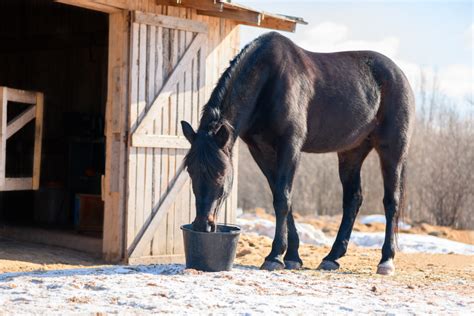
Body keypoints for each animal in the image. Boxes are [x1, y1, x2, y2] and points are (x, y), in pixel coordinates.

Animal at [181, 30, 414, 276]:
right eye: (190, 171)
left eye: (221, 173)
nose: (202, 225)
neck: (268, 80)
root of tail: (398, 74)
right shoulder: (261, 151)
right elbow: (283, 197)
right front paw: (292, 256)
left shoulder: (290, 146)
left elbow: (282, 198)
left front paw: (274, 257)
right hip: (351, 152)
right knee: (353, 199)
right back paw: (332, 258)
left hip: (392, 150)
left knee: (391, 201)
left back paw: (386, 260)